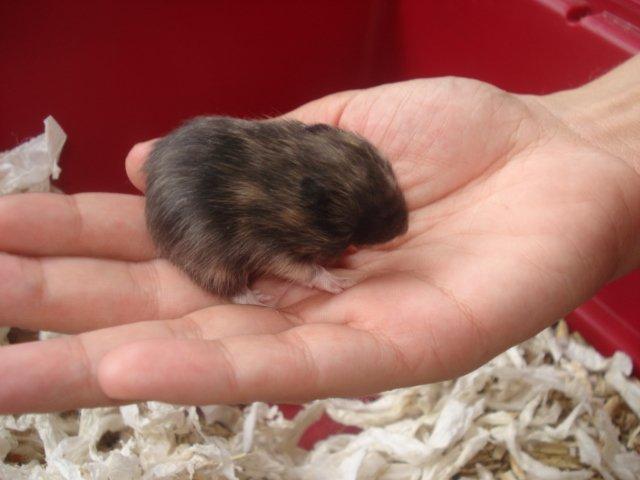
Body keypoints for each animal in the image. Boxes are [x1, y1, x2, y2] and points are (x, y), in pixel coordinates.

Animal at [144, 116, 408, 304]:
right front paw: (339, 282)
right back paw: (259, 299)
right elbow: (306, 270)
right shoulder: (268, 246)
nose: (405, 229)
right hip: (211, 260)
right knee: (229, 288)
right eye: (382, 215)